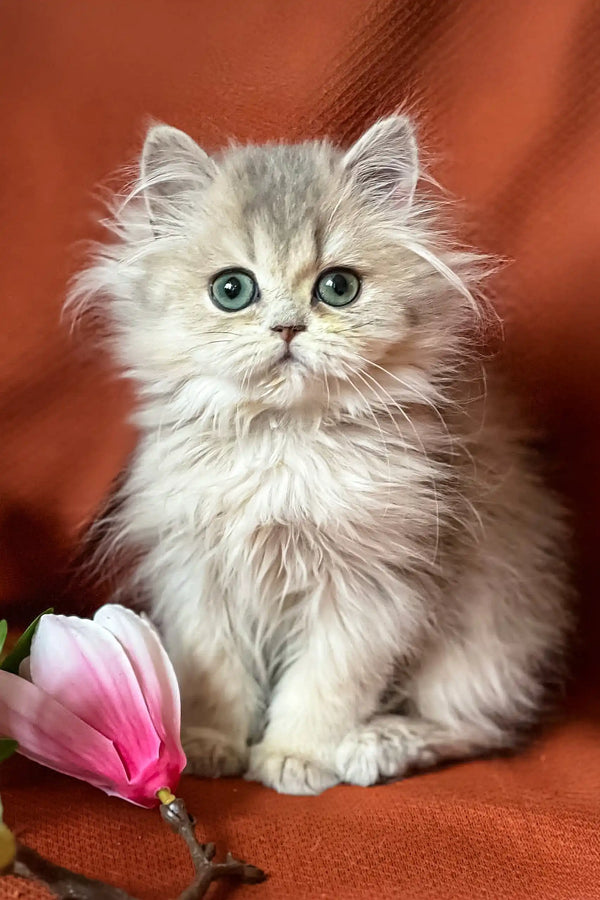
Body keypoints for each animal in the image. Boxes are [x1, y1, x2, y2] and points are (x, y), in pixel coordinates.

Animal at [70, 114, 572, 796]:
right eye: (232, 290)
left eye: (338, 287)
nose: (287, 327)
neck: (283, 442)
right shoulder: (200, 577)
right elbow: (215, 675)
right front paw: (207, 744)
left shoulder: (370, 588)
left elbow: (324, 685)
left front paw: (295, 756)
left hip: (480, 645)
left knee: (481, 730)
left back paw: (380, 745)